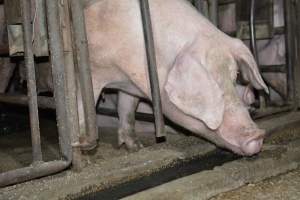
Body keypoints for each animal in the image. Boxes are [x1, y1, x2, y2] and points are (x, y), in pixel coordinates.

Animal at [83, 0, 268, 155]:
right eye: (211, 82)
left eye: (235, 75)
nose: (257, 135)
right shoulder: (94, 71)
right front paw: (87, 153)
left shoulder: (130, 85)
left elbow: (127, 110)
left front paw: (136, 148)